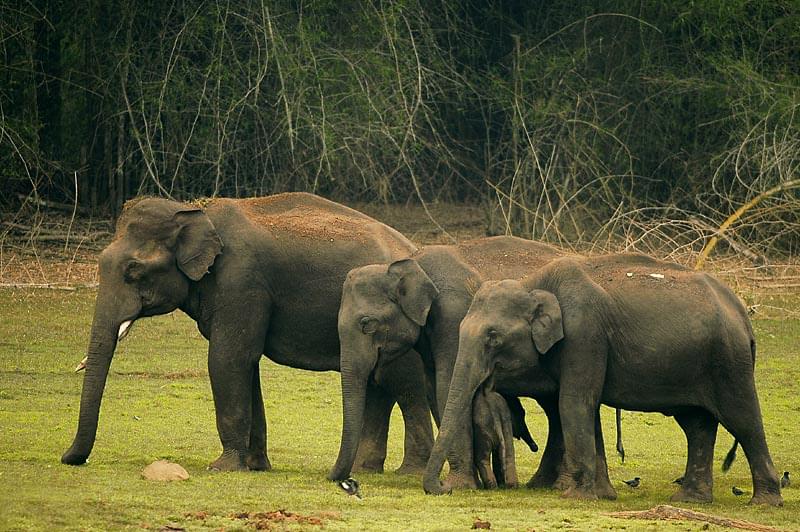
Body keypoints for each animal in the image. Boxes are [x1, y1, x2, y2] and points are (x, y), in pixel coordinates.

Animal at [61, 192, 438, 474]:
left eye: (134, 270)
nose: (69, 459)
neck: (196, 210)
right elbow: (246, 363)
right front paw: (255, 465)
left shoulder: (242, 281)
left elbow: (228, 358)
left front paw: (223, 468)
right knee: (378, 385)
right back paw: (364, 469)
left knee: (403, 384)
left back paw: (409, 471)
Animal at [328, 235, 616, 496]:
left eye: (367, 323)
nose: (342, 480)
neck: (414, 263)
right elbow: (436, 390)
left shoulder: (453, 318)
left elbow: (447, 387)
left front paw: (458, 485)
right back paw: (543, 484)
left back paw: (561, 486)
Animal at [422, 255, 784, 508]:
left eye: (493, 337)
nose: (444, 489)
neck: (534, 283)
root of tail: (742, 313)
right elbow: (588, 410)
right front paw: (603, 495)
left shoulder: (585, 335)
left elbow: (574, 404)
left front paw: (577, 497)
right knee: (697, 425)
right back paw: (690, 500)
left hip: (729, 361)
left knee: (744, 420)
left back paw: (765, 502)